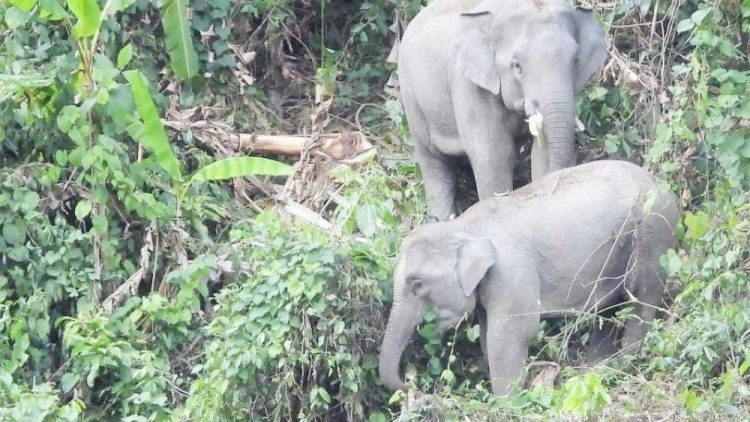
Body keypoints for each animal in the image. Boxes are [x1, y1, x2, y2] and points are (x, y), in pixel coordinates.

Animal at [382, 161, 680, 396]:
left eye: (416, 283)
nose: (411, 384)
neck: (463, 227)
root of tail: (662, 184)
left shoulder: (512, 272)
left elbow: (510, 335)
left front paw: (508, 405)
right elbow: (488, 335)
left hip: (653, 230)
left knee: (643, 296)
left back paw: (623, 364)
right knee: (607, 309)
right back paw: (593, 372)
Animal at [400, 0, 612, 218]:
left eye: (576, 59)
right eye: (517, 65)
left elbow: (542, 152)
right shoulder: (466, 85)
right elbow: (493, 155)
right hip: (411, 97)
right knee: (433, 162)